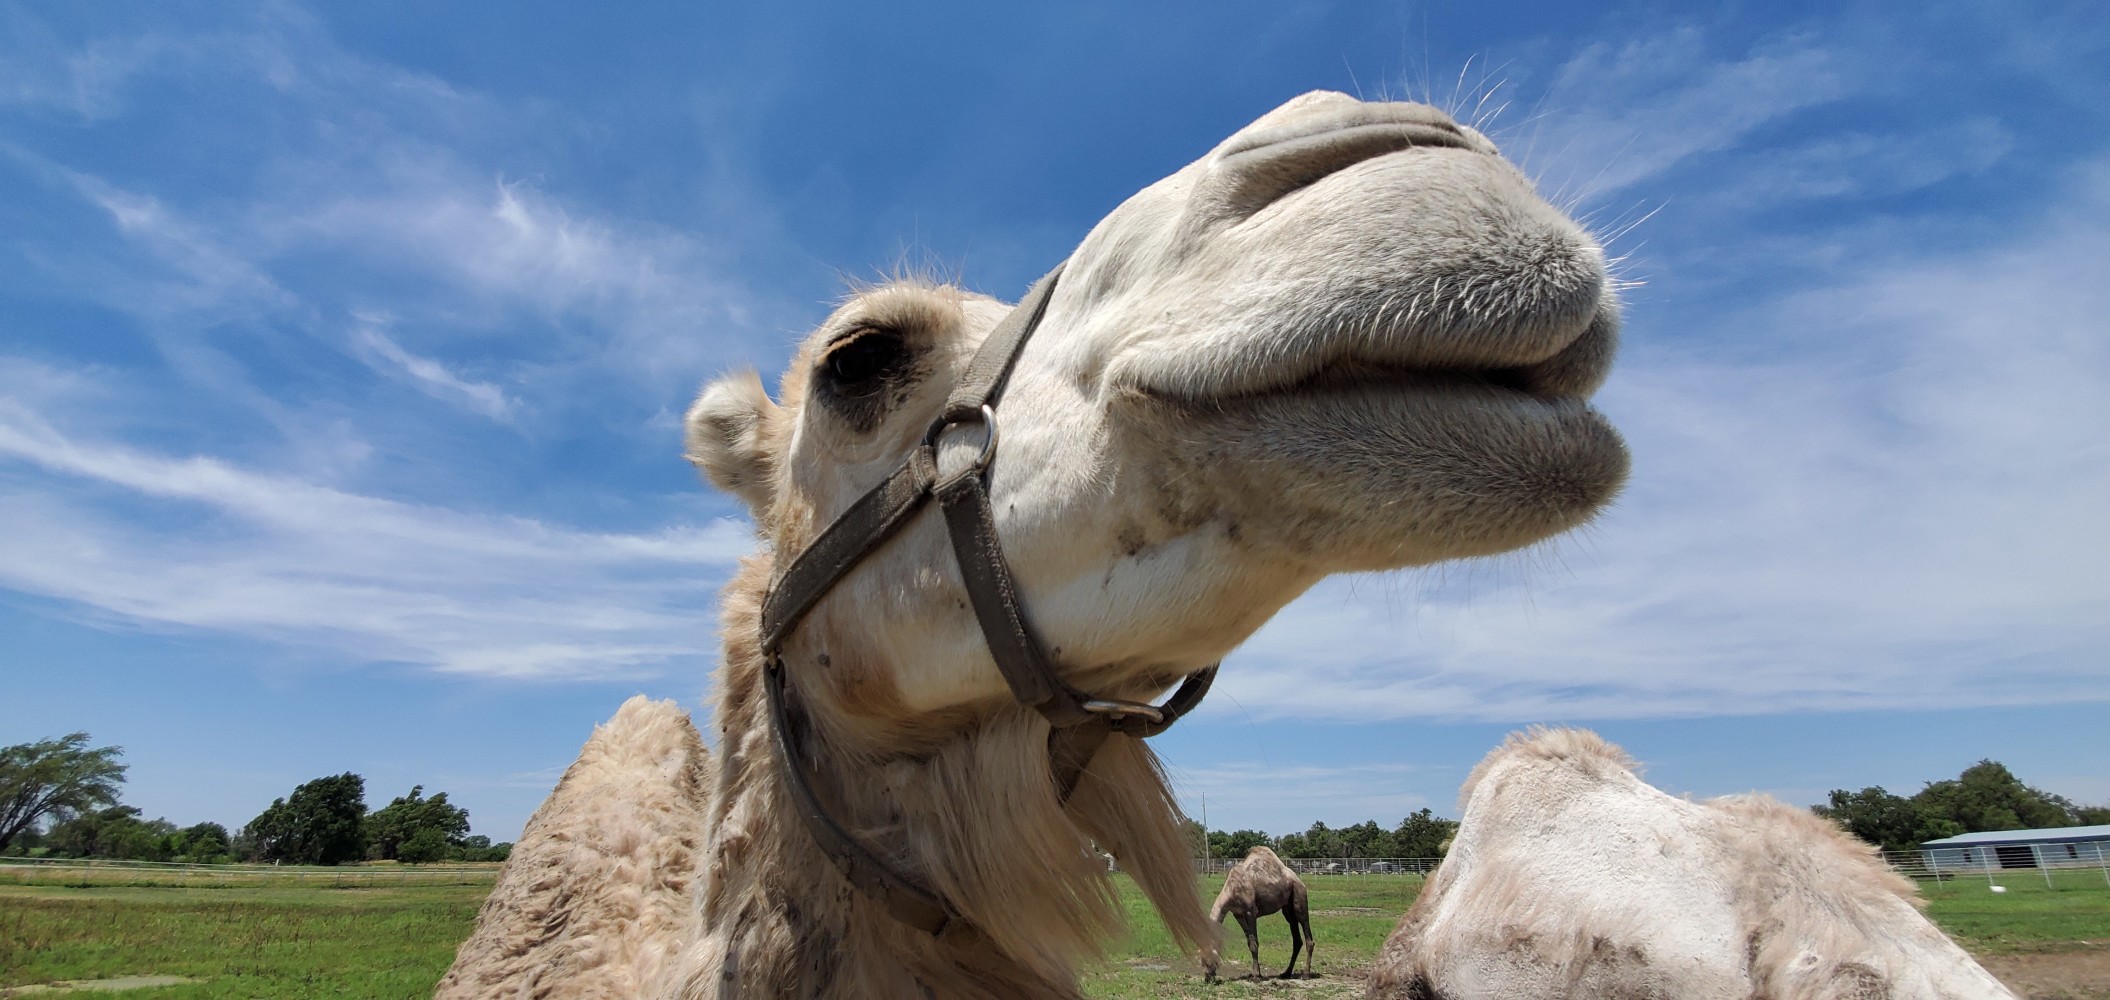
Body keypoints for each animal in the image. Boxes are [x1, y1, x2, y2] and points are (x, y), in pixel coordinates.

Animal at [1204, 846, 1315, 981]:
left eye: (1208, 957)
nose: (1207, 976)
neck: (1232, 889)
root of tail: (1298, 880)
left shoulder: (1250, 912)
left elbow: (1254, 943)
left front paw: (1256, 976)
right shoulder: (1238, 914)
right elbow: (1249, 942)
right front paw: (1257, 973)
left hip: (1299, 897)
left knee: (1307, 932)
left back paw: (1306, 974)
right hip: (1287, 909)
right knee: (1296, 939)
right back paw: (1286, 973)